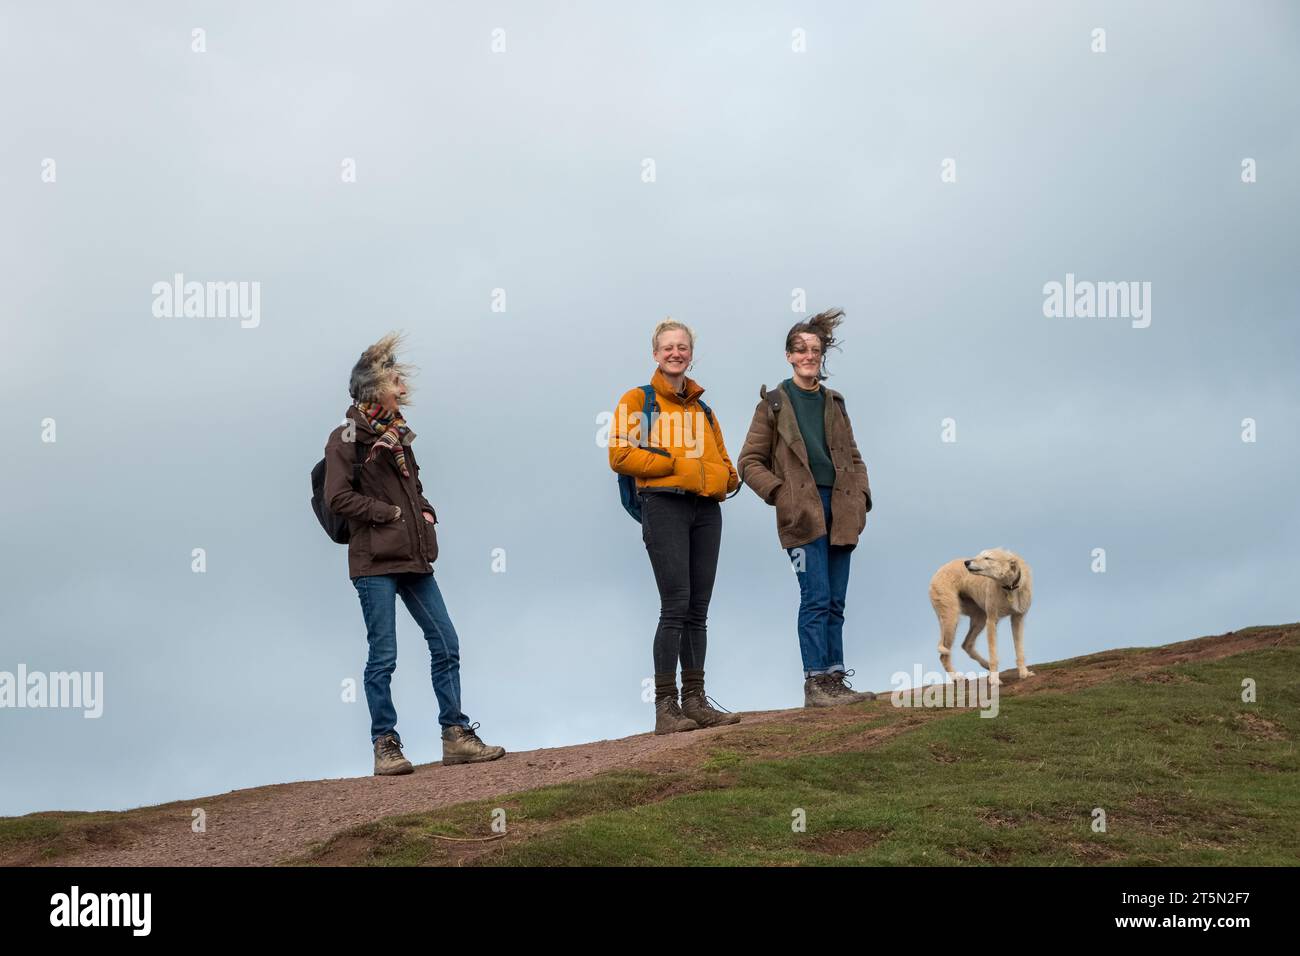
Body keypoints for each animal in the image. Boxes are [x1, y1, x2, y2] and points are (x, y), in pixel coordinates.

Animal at [925, 548, 1034, 686]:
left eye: (987, 558)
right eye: (979, 555)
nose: (966, 563)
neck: (1009, 587)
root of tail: (938, 570)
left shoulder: (1017, 618)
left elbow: (1019, 650)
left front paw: (1024, 673)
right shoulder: (992, 621)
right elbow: (993, 655)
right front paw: (994, 680)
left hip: (980, 618)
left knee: (966, 644)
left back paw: (985, 664)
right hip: (951, 619)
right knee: (944, 655)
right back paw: (956, 677)